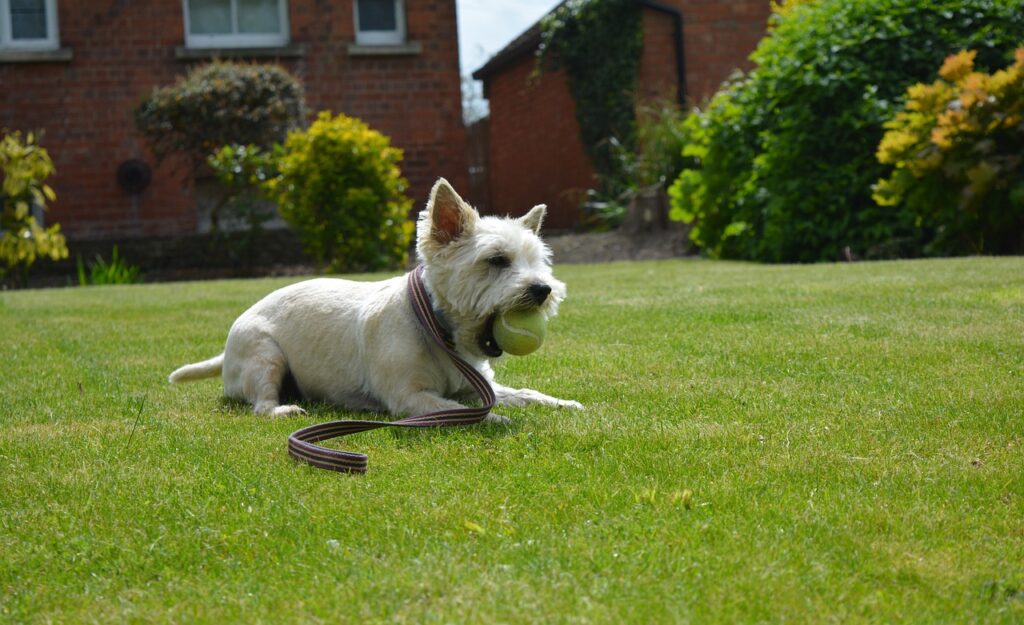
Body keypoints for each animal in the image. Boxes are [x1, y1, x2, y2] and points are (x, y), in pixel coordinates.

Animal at [172, 175, 581, 420]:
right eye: (496, 260)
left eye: (538, 261)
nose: (542, 290)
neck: (438, 330)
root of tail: (226, 352)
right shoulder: (409, 397)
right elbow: (453, 408)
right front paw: (495, 419)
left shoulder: (479, 385)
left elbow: (524, 392)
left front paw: (562, 402)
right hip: (265, 356)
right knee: (260, 402)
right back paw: (283, 410)